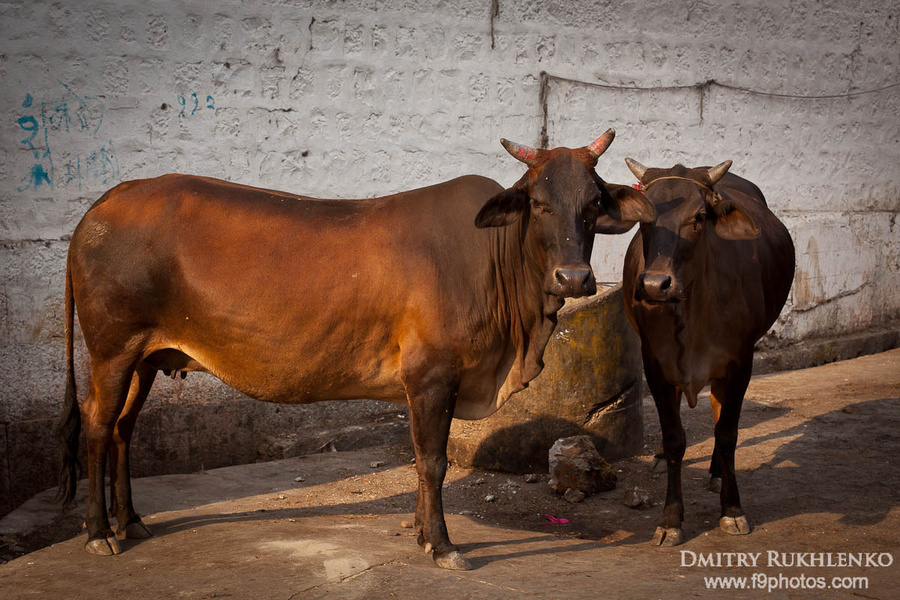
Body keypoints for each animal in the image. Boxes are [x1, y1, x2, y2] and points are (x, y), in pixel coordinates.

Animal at [59, 131, 656, 568]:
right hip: (113, 350)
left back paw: (132, 521)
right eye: (538, 202)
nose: (574, 277)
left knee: (123, 430)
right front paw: (442, 545)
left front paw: (421, 534)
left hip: (146, 358)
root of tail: (106, 201)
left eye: (594, 203)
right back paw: (98, 532)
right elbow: (433, 461)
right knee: (97, 425)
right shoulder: (432, 376)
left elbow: (421, 458)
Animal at [620, 157, 796, 548]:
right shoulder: (654, 365)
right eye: (644, 218)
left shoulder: (740, 362)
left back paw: (717, 473)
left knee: (718, 413)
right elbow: (674, 439)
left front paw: (732, 510)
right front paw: (671, 519)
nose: (654, 285)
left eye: (699, 216)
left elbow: (728, 433)